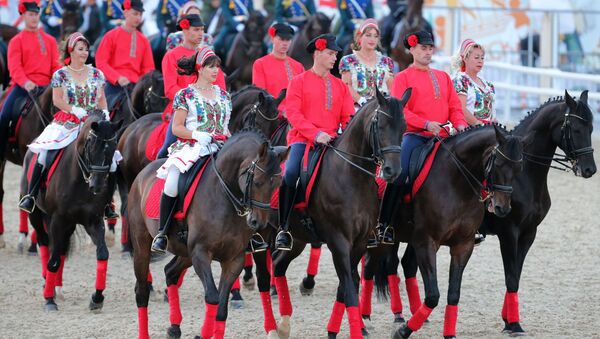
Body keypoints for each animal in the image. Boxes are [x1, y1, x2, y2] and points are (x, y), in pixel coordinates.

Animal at [20, 110, 122, 312]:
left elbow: (102, 254)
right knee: (45, 244)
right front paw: (49, 301)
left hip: (67, 223)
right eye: (91, 145)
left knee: (59, 249)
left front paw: (97, 298)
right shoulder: (58, 219)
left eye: (114, 146)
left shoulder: (93, 220)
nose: (97, 186)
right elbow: (52, 262)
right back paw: (49, 287)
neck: (80, 178)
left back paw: (57, 288)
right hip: (38, 216)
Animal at [128, 129, 288, 338]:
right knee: (141, 291)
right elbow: (212, 297)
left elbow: (221, 308)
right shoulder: (201, 253)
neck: (224, 196)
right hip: (142, 245)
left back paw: (174, 327)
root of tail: (142, 174)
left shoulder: (233, 259)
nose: (258, 223)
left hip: (185, 252)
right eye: (257, 182)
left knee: (170, 273)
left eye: (277, 184)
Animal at [253, 89, 408, 338]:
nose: (393, 170)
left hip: (297, 239)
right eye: (381, 125)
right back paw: (271, 328)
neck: (351, 175)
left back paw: (284, 324)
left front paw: (337, 330)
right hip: (261, 235)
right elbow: (349, 288)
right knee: (263, 278)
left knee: (278, 264)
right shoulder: (338, 241)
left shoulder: (360, 242)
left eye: (403, 126)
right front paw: (355, 330)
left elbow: (347, 285)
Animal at [482, 91, 596, 338]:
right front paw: (514, 325)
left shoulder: (529, 234)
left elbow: (516, 274)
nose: (590, 169)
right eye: (575, 129)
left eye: (592, 128)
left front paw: (508, 320)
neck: (523, 175)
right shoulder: (508, 233)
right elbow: (511, 276)